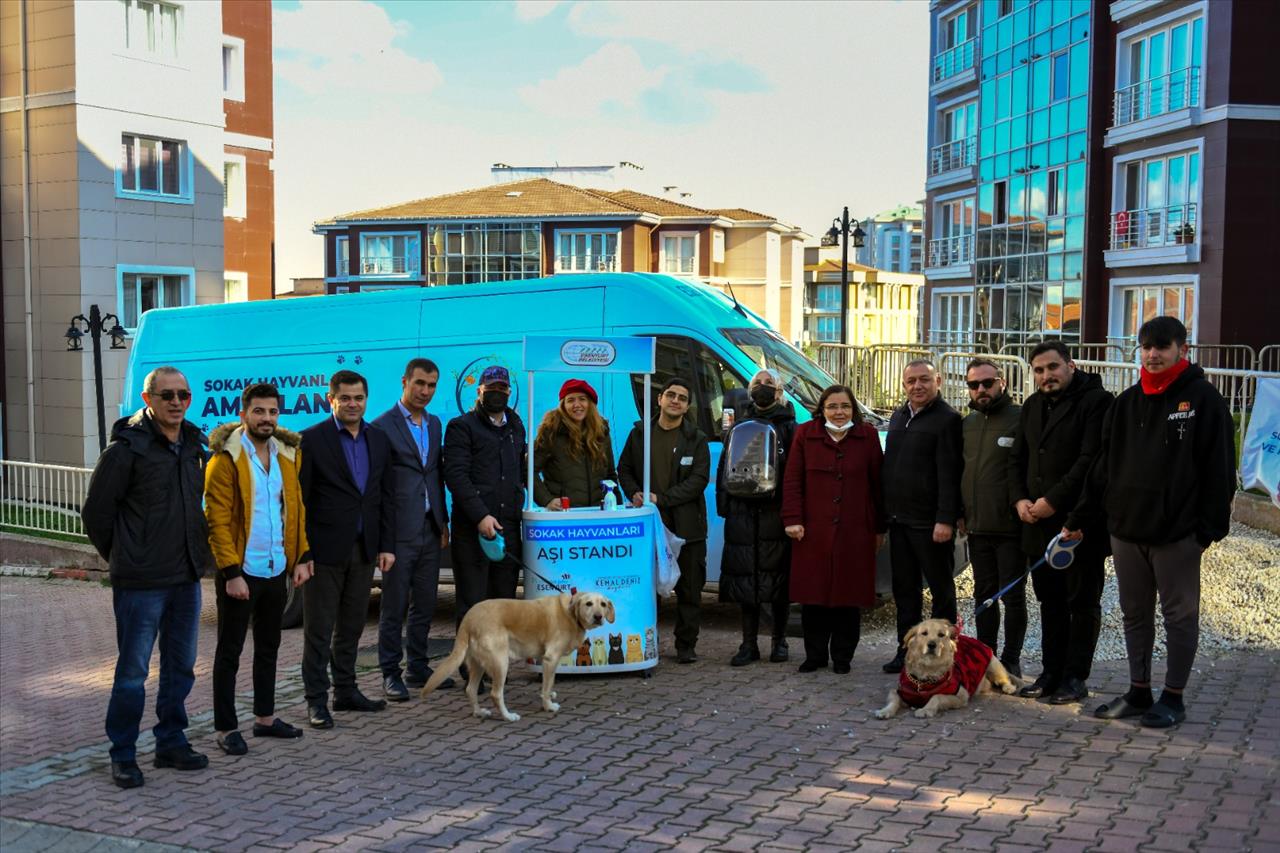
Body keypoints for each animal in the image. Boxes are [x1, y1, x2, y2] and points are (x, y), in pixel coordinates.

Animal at [422, 589, 616, 722]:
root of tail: (469, 618)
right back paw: (508, 716)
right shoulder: (550, 658)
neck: (570, 613)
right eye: (588, 604)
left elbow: (550, 682)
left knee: (470, 689)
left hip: (478, 664)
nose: (598, 616)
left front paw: (550, 695)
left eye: (603, 604)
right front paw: (548, 705)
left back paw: (479, 712)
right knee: (495, 694)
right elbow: (546, 686)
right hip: (501, 663)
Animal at [870, 617, 1018, 717]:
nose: (932, 645)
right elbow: (893, 700)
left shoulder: (961, 695)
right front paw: (885, 711)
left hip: (993, 665)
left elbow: (937, 696)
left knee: (1004, 678)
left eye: (941, 635)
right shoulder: (900, 692)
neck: (927, 670)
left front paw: (926, 709)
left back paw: (1009, 687)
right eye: (924, 633)